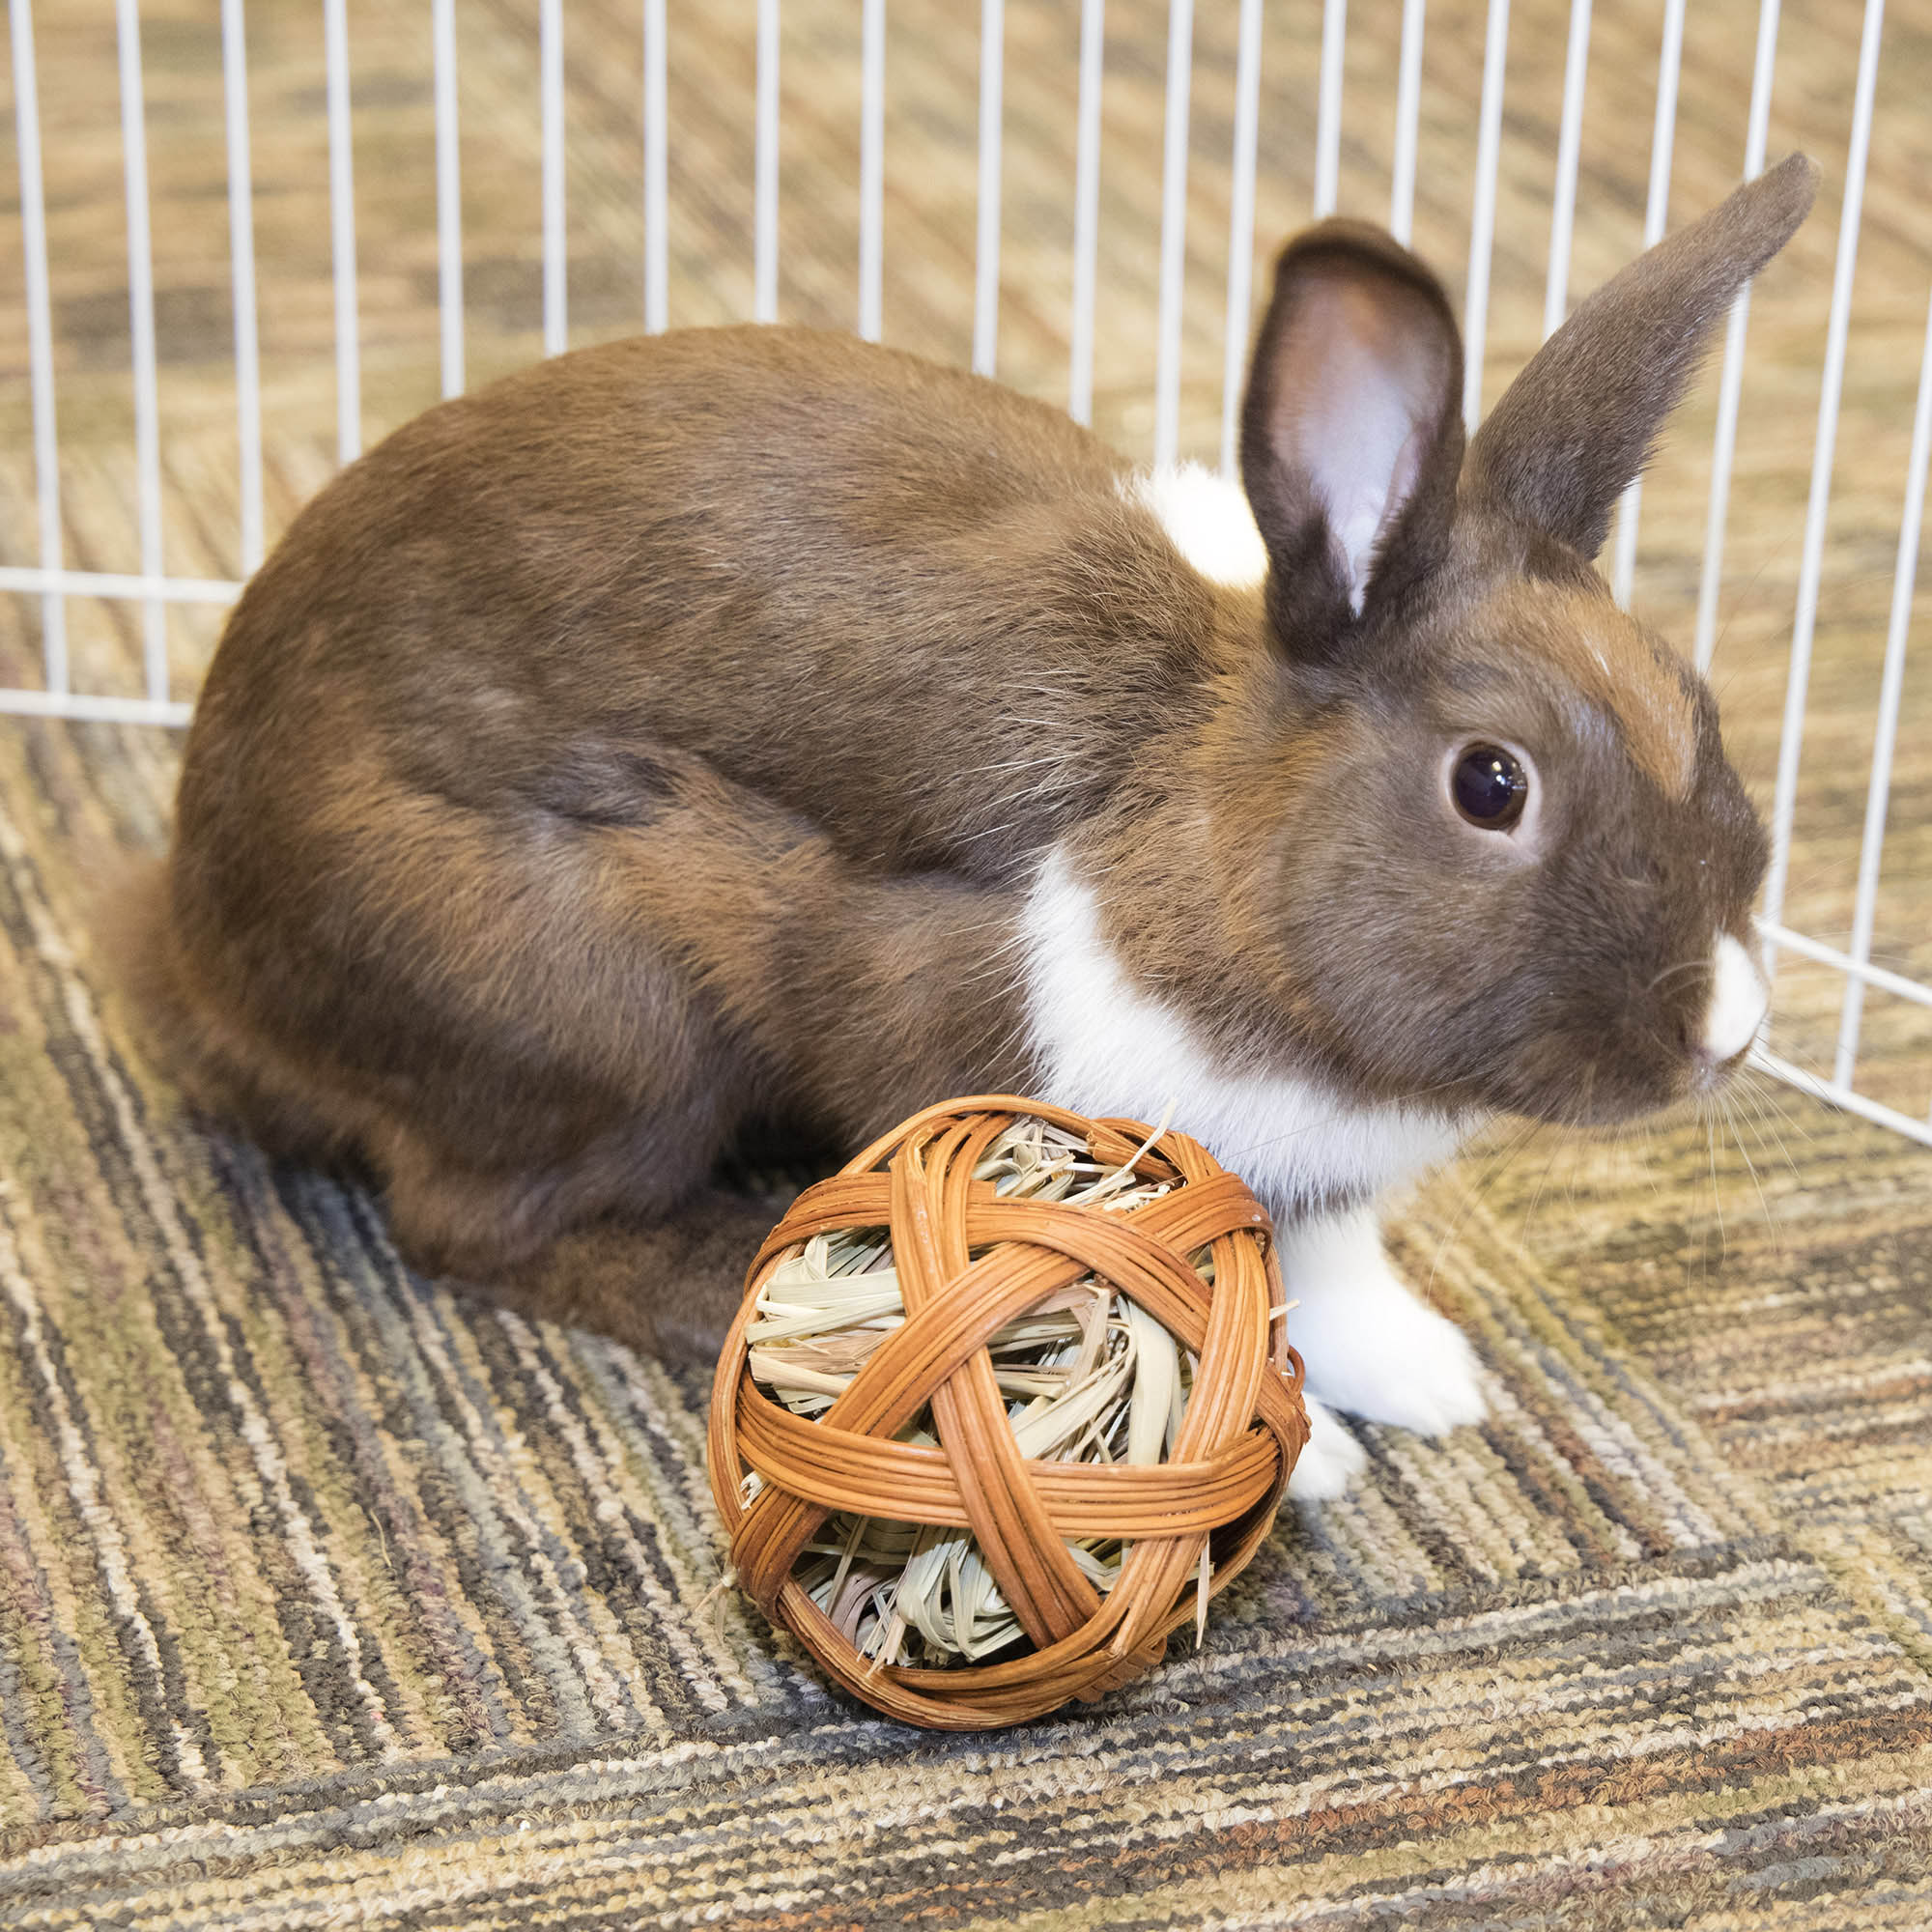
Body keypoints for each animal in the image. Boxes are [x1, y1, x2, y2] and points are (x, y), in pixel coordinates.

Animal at [134, 155, 1818, 1501]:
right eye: (1492, 785)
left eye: (1698, 702)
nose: (1730, 1029)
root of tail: (197, 956)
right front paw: (1299, 1462)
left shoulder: (1321, 1193)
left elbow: (1335, 1280)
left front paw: (1431, 1387)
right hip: (594, 1027)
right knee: (468, 1225)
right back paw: (715, 1276)